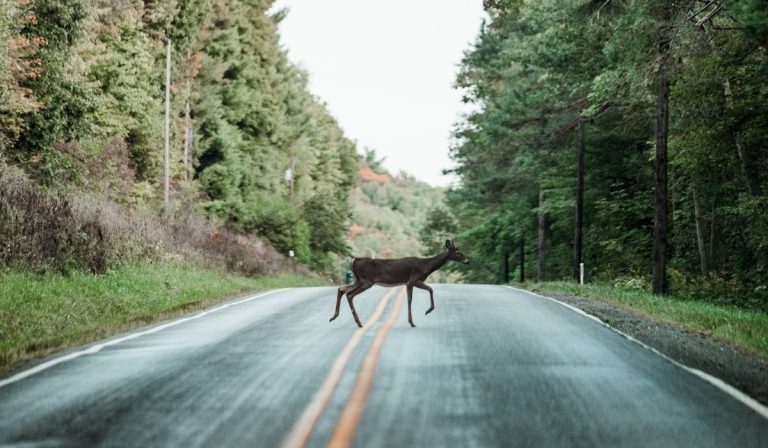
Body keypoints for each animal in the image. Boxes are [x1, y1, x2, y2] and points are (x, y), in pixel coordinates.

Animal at [329, 239, 469, 328]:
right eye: (458, 252)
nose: (467, 261)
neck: (426, 266)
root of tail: (353, 260)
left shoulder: (408, 283)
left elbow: (409, 300)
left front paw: (411, 322)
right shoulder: (414, 279)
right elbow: (430, 290)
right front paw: (427, 312)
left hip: (358, 280)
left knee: (342, 289)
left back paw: (334, 317)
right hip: (366, 281)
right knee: (349, 294)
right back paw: (358, 323)